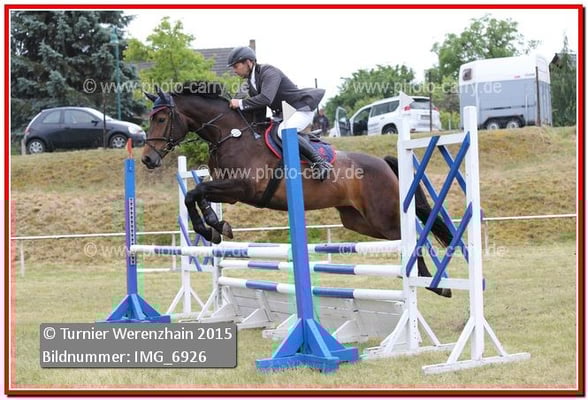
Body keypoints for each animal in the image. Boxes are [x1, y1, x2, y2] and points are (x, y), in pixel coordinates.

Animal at [142, 82, 453, 297]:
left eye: (161, 119)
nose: (147, 159)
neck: (230, 136)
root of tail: (385, 163)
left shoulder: (241, 189)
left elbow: (195, 192)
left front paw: (212, 227)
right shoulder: (228, 192)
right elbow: (195, 194)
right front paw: (215, 227)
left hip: (382, 216)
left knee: (413, 236)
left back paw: (434, 284)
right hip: (359, 221)